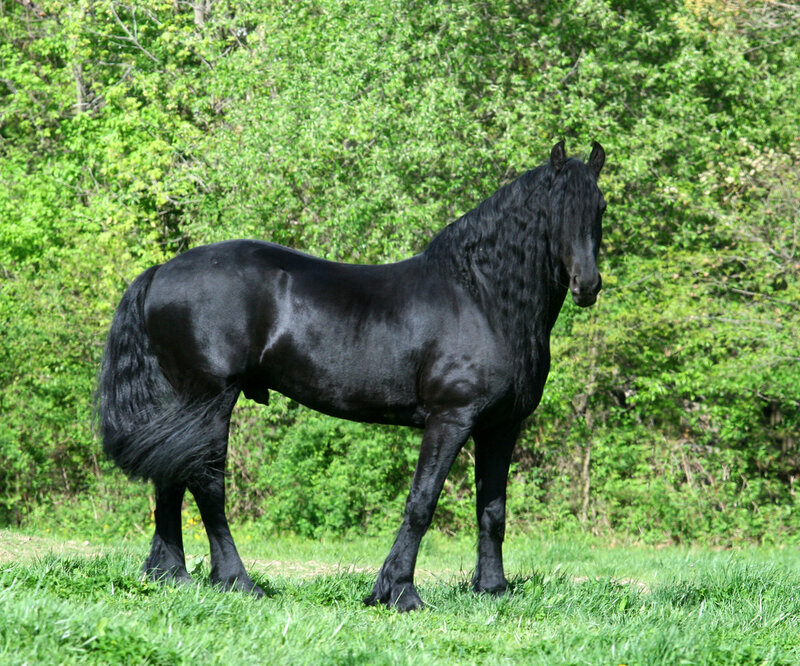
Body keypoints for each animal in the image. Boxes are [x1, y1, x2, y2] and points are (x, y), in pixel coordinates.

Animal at [96, 140, 606, 611]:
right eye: (556, 209)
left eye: (600, 207)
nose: (587, 285)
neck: (481, 298)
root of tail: (161, 271)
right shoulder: (451, 419)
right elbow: (422, 503)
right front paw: (399, 592)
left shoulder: (501, 427)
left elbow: (493, 509)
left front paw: (492, 590)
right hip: (211, 399)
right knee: (207, 484)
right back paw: (237, 580)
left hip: (183, 404)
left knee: (170, 476)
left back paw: (172, 576)